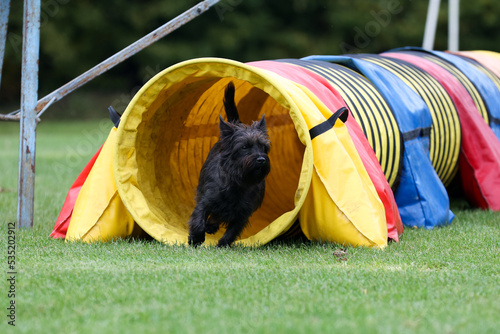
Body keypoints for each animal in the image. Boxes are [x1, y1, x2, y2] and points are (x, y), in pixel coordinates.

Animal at [188, 82, 272, 247]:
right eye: (244, 147)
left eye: (263, 147)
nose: (261, 159)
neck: (239, 181)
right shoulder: (206, 199)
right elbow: (199, 220)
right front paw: (195, 238)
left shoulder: (243, 213)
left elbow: (231, 232)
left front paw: (222, 245)